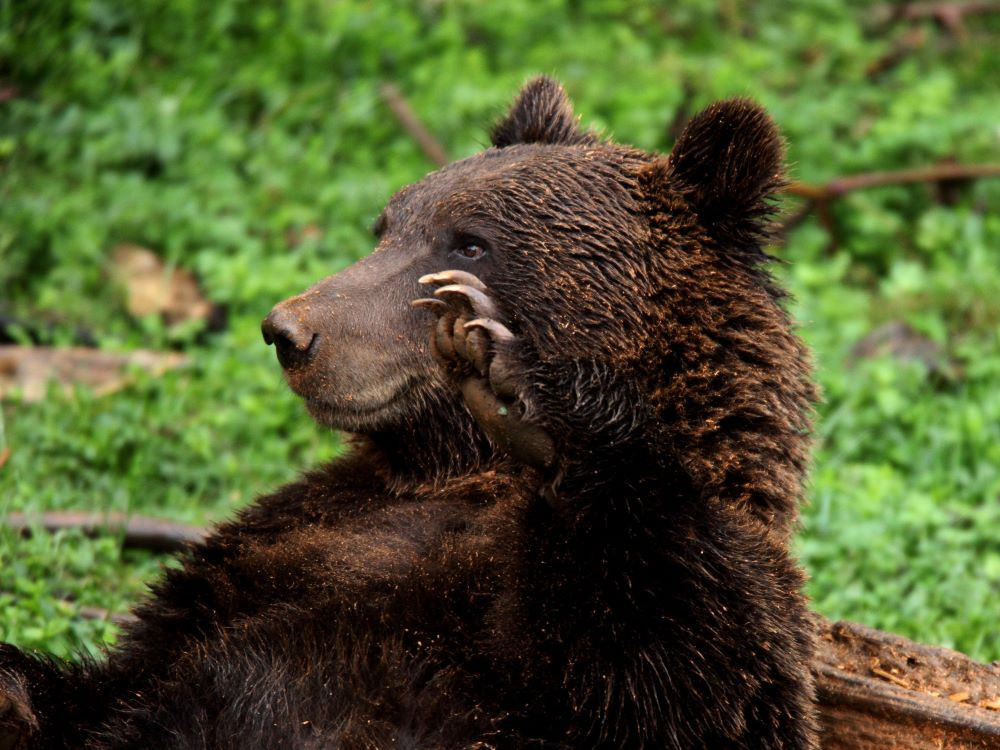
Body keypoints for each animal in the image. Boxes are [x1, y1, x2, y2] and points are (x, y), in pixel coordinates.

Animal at [0, 79, 820, 748]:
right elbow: (112, 683)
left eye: (472, 243)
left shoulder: (719, 605)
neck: (453, 472)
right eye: (386, 227)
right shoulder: (263, 564)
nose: (289, 331)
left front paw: (521, 386)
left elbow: (679, 673)